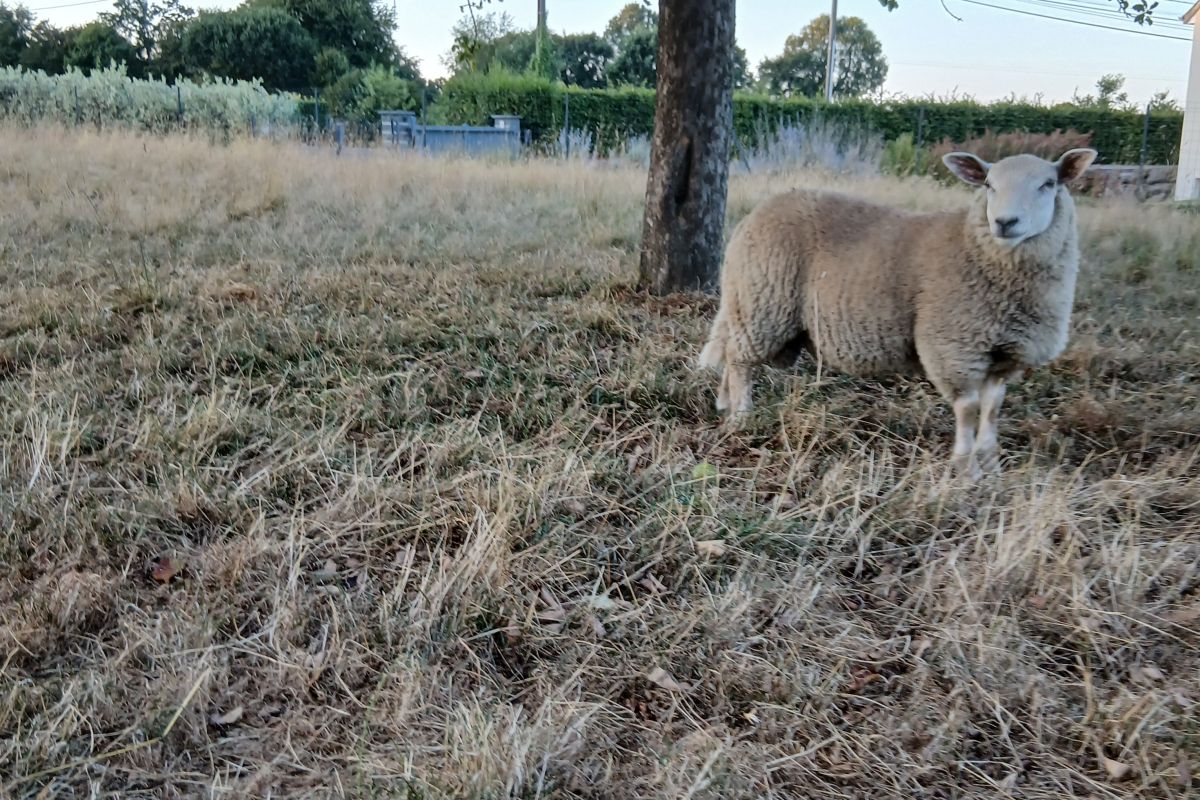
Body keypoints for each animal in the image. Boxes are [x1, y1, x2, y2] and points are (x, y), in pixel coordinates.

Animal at [697, 147, 1098, 479]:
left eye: (1048, 184)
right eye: (989, 184)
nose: (1005, 222)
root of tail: (751, 219)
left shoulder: (1003, 354)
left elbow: (992, 409)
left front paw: (990, 464)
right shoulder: (955, 346)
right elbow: (968, 409)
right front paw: (965, 468)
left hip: (749, 305)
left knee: (732, 353)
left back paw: (724, 404)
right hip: (763, 304)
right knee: (740, 361)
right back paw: (742, 416)